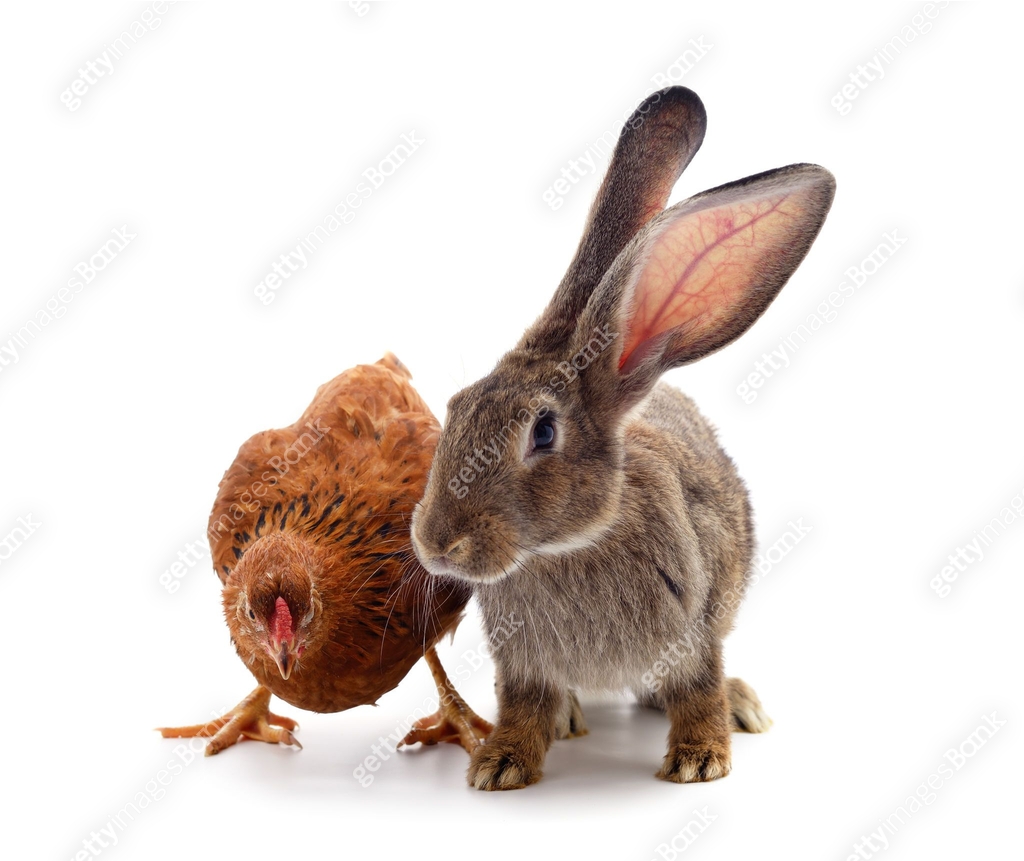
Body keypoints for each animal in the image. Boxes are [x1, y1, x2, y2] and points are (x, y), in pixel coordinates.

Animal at [410, 86, 835, 790]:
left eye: (543, 432)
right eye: (456, 406)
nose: (437, 544)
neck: (573, 544)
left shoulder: (691, 633)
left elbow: (697, 690)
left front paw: (699, 760)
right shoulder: (520, 666)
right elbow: (522, 706)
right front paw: (500, 765)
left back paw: (742, 706)